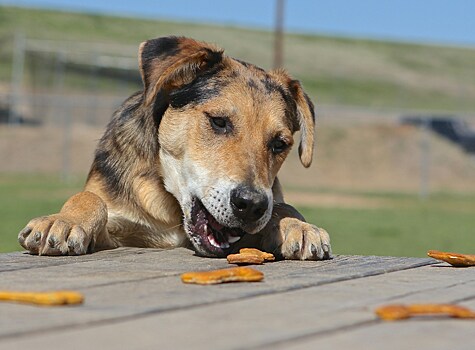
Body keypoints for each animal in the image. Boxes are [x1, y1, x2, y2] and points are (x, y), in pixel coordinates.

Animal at [17, 37, 330, 260]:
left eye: (280, 144)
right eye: (218, 121)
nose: (251, 205)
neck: (173, 209)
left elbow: (281, 205)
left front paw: (299, 226)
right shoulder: (118, 234)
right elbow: (89, 198)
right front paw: (63, 221)